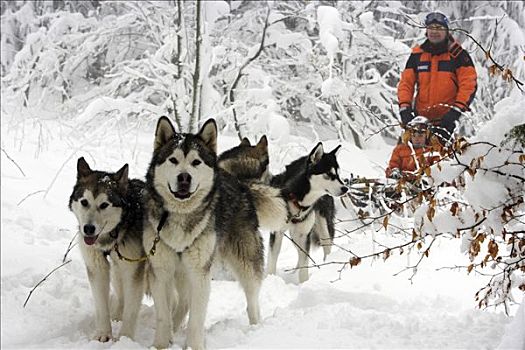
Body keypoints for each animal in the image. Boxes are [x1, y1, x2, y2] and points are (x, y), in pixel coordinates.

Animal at [68, 158, 145, 342]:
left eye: (104, 205)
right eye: (84, 202)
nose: (88, 229)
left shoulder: (133, 270)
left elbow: (131, 310)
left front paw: (125, 339)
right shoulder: (97, 267)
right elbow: (101, 306)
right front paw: (103, 334)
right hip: (118, 270)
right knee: (121, 295)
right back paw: (117, 315)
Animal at [142, 117, 262, 350]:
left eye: (196, 162)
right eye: (173, 160)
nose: (184, 177)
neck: (181, 215)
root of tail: (235, 180)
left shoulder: (199, 273)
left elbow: (196, 319)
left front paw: (194, 346)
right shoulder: (160, 271)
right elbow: (163, 315)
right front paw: (161, 344)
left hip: (245, 264)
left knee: (252, 299)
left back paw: (257, 329)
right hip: (181, 272)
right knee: (181, 303)